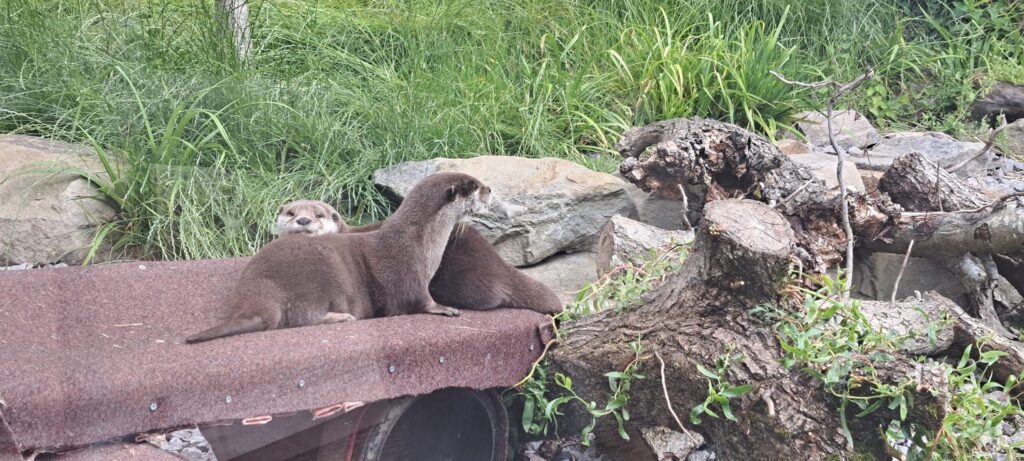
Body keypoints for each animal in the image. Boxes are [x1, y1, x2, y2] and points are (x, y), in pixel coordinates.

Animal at [185, 172, 490, 343]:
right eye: (474, 185)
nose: (490, 190)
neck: (421, 241)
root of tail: (258, 298)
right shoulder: (408, 274)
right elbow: (419, 300)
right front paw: (444, 308)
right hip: (314, 281)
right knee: (301, 318)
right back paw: (342, 317)